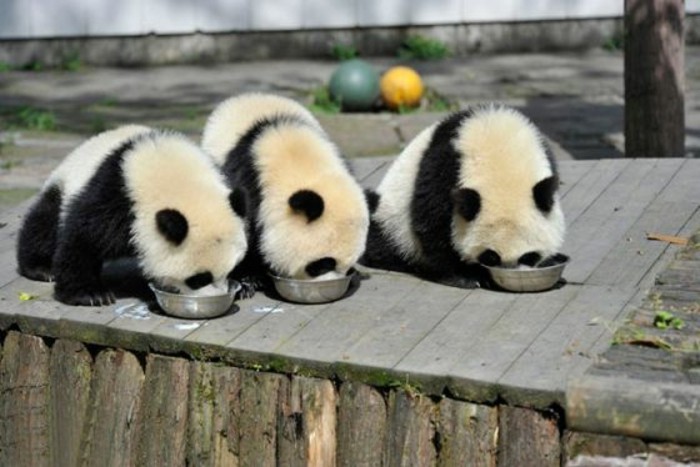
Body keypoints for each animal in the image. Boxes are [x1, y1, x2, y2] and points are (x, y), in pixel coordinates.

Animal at [16, 126, 248, 306]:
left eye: (231, 269)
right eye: (199, 279)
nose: (218, 295)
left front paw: (244, 284)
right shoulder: (118, 197)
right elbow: (84, 236)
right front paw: (89, 294)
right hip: (64, 184)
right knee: (45, 223)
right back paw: (41, 268)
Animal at [361, 105, 566, 288]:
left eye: (528, 256)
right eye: (490, 256)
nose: (506, 275)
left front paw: (549, 261)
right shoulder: (447, 166)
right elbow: (432, 220)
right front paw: (463, 276)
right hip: (392, 220)